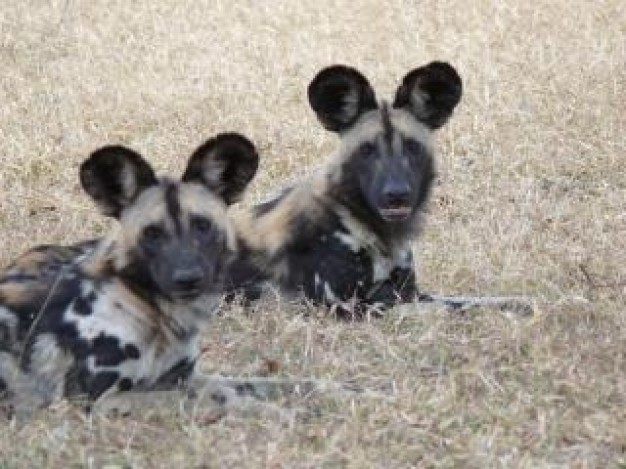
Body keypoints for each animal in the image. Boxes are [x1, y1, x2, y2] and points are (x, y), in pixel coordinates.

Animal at [0, 133, 258, 412]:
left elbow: (260, 386)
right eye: (152, 233)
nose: (187, 278)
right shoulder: (100, 400)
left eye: (202, 225)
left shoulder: (184, 376)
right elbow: (214, 397)